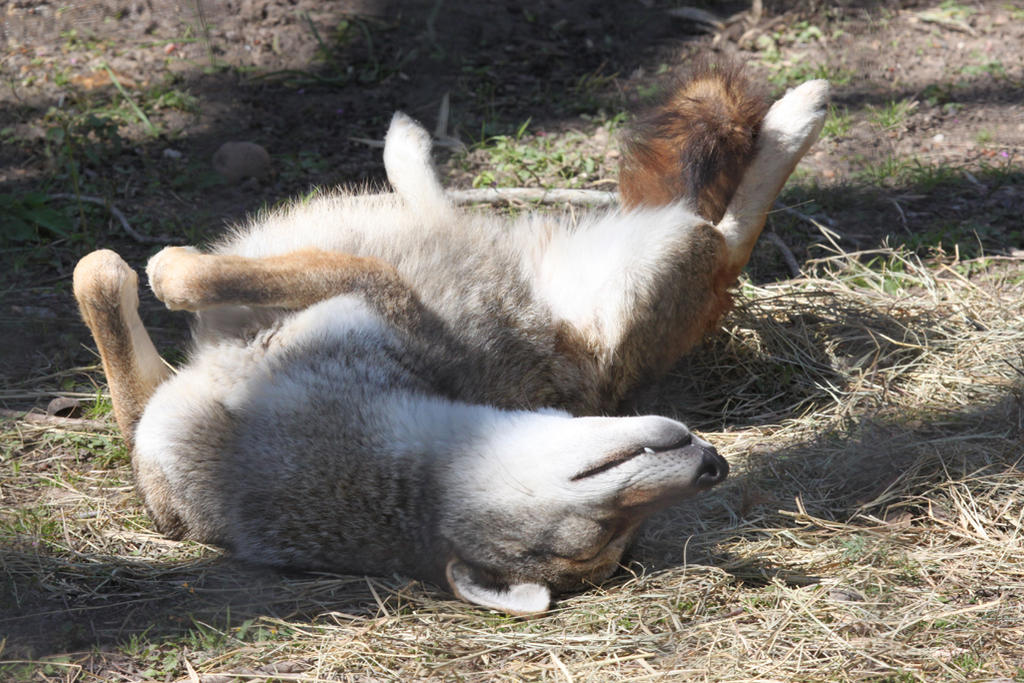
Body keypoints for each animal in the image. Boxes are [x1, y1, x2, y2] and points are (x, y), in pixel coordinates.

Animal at [75, 65, 827, 614]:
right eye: (603, 529)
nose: (714, 466)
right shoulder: (160, 428)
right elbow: (99, 283)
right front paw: (136, 271)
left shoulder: (378, 301)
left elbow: (163, 278)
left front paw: (165, 268)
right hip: (655, 256)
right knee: (723, 228)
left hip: (655, 258)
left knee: (729, 228)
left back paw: (804, 107)